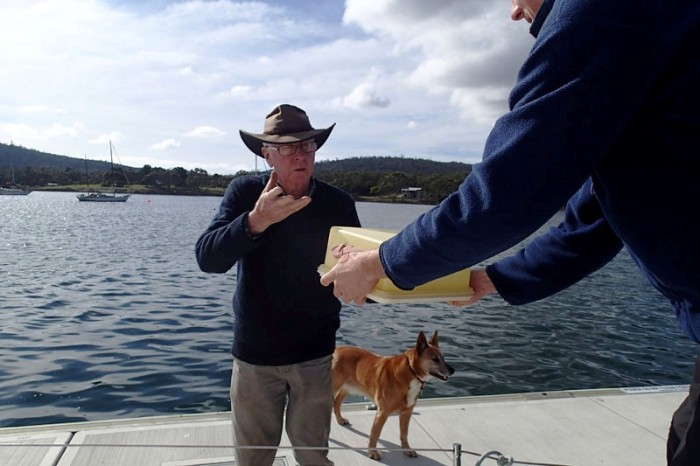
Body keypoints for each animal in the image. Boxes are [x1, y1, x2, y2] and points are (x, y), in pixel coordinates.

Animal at [332, 330, 456, 460]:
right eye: (435, 359)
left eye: (443, 357)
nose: (453, 370)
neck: (411, 371)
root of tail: (337, 349)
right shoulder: (382, 413)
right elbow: (375, 433)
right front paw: (372, 452)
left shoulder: (407, 412)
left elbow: (404, 433)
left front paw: (407, 449)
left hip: (347, 387)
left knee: (337, 402)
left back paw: (340, 419)